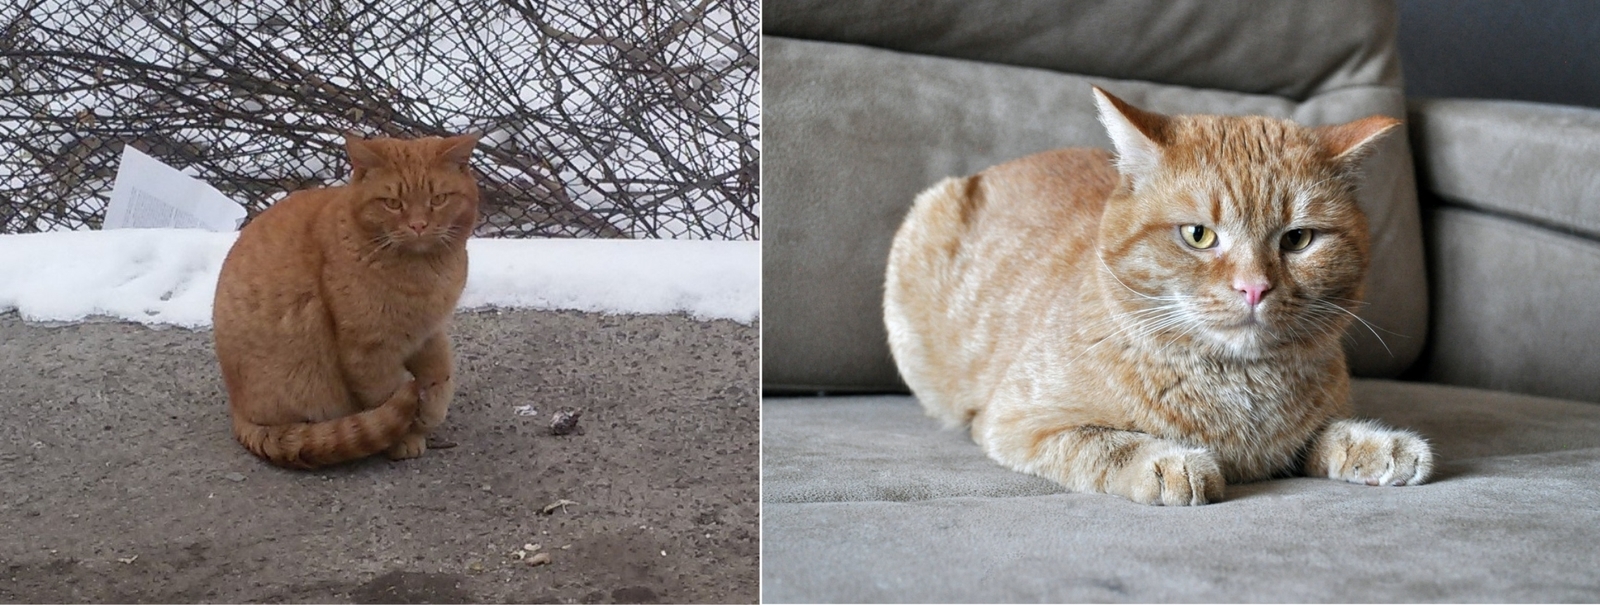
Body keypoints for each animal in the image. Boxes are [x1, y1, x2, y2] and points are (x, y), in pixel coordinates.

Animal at [216, 134, 483, 470]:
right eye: (393, 203)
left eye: (438, 199)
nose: (419, 225)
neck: (424, 275)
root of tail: (237, 411)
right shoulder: (367, 351)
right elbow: (388, 396)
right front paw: (406, 437)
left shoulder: (429, 333)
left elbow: (440, 374)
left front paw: (431, 410)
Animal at [889, 88, 1440, 505]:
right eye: (1198, 235)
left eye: (1298, 239)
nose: (1254, 286)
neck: (1239, 386)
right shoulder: (1021, 424)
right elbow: (1106, 444)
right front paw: (1169, 461)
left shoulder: (1299, 434)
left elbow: (1327, 433)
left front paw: (1380, 444)